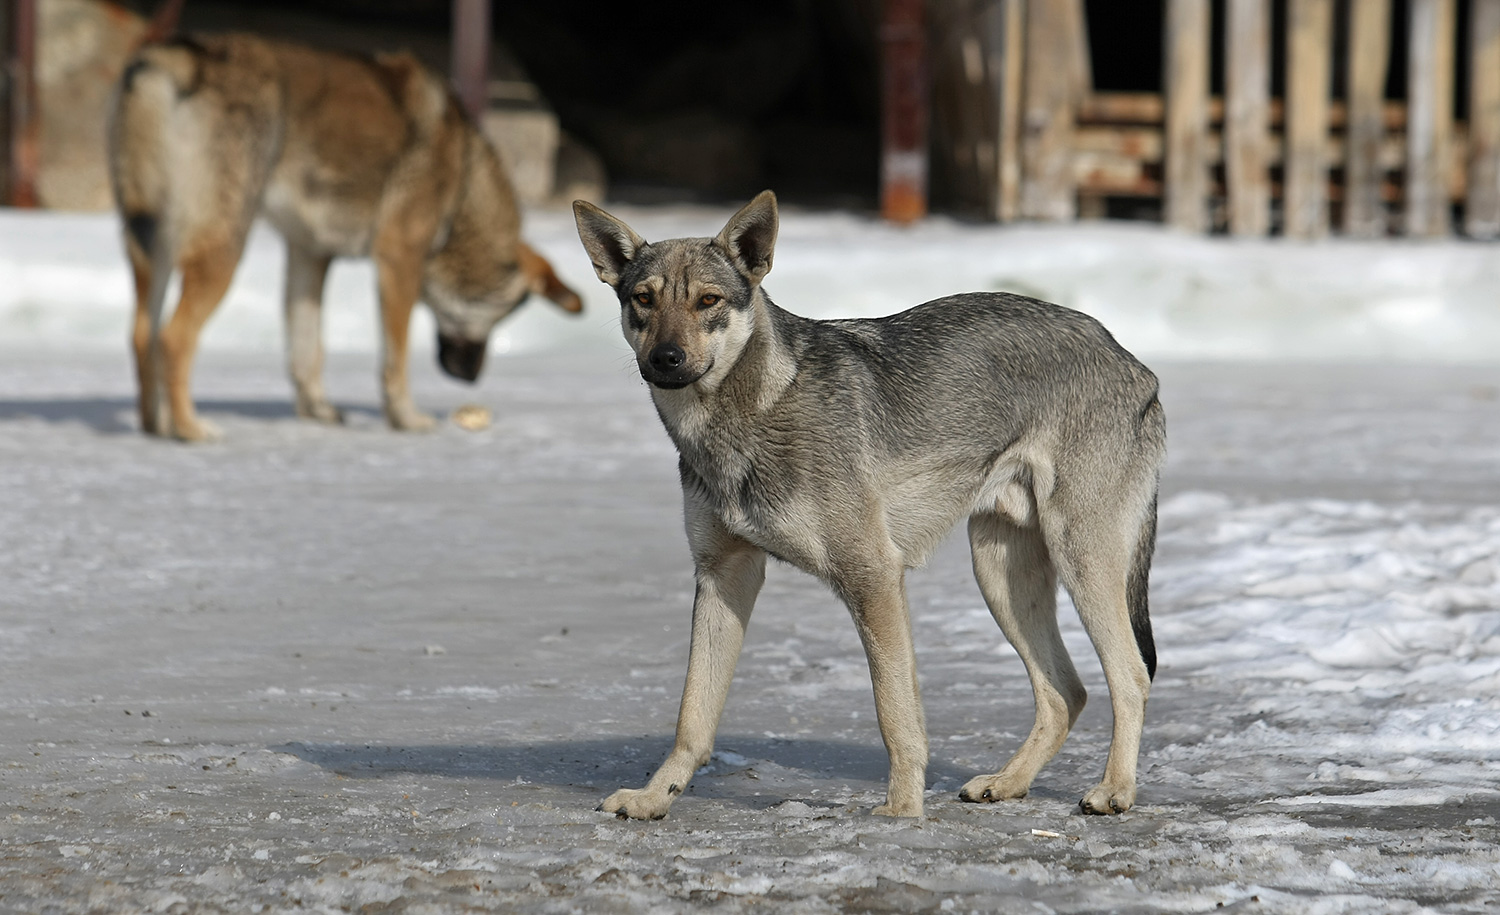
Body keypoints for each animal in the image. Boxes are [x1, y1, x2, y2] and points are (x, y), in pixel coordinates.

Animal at [109, 32, 579, 438]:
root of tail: (176, 55)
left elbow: (307, 350)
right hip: (224, 247)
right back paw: (190, 430)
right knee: (173, 339)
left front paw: (318, 411)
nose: (472, 378)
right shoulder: (399, 258)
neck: (464, 182)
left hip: (152, 246)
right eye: (507, 316)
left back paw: (155, 426)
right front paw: (406, 418)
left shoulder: (309, 254)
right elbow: (394, 359)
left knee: (141, 335)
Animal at [567, 189, 1164, 816]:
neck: (746, 414)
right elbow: (692, 717)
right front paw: (655, 798)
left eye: (708, 301)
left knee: (1130, 675)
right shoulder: (722, 576)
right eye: (643, 299)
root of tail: (1131, 360)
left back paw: (1114, 790)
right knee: (1065, 691)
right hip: (1001, 574)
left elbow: (895, 714)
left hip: (1082, 564)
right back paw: (1008, 782)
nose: (666, 358)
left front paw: (901, 811)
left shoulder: (873, 577)